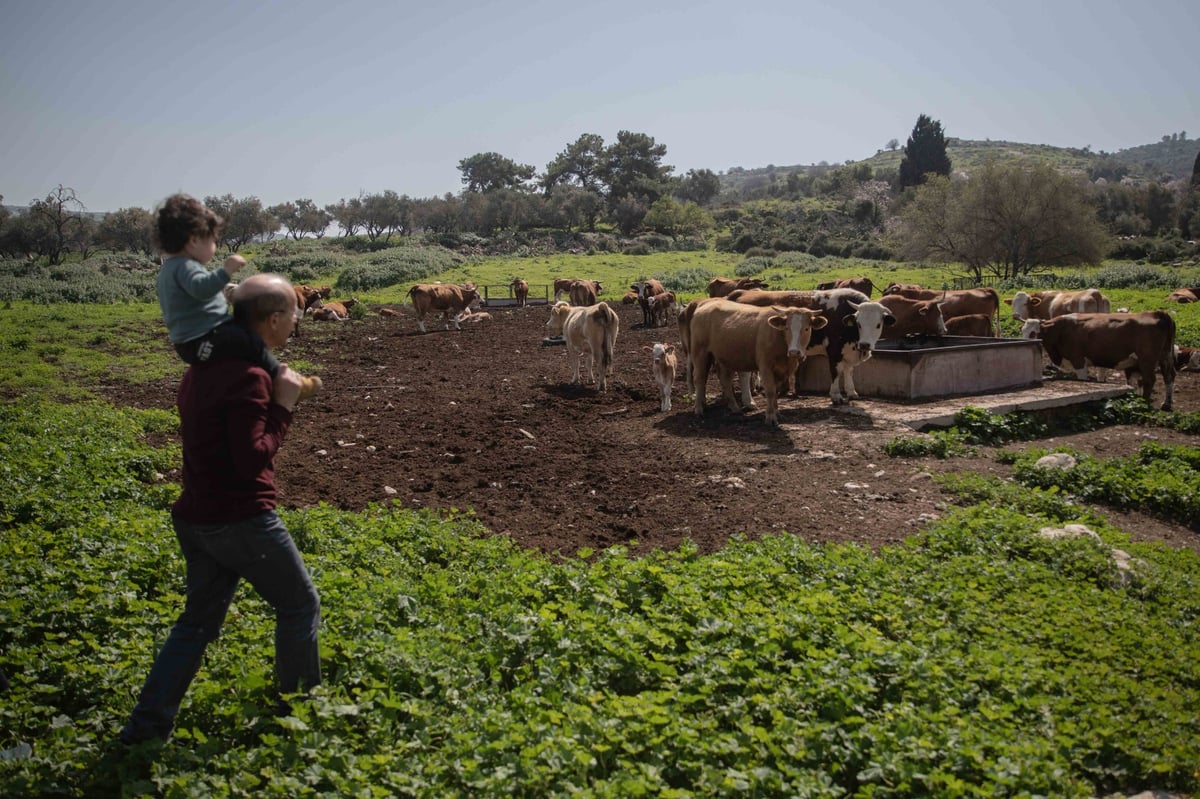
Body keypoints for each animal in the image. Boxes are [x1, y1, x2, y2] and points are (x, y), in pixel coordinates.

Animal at [686, 298, 825, 422]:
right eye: (787, 328)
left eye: (806, 328)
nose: (794, 352)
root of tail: (704, 305)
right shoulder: (765, 366)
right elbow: (770, 390)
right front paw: (770, 417)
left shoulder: (781, 371)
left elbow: (776, 391)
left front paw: (777, 412)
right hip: (700, 352)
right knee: (699, 378)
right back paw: (698, 408)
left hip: (724, 357)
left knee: (725, 380)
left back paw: (734, 407)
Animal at [1027, 311, 1176, 407]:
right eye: (1023, 330)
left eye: (1033, 333)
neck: (1061, 329)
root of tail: (1156, 313)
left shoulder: (1078, 361)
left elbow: (1083, 380)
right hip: (1165, 356)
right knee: (1169, 376)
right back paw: (1166, 403)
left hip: (1147, 360)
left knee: (1150, 380)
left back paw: (1143, 402)